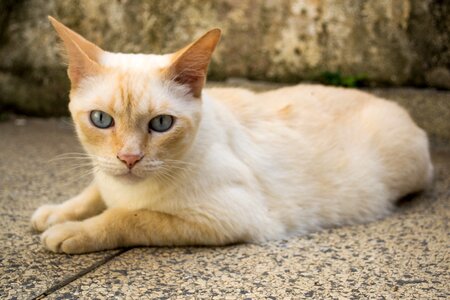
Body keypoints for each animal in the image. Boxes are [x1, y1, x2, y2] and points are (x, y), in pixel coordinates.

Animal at [30, 16, 432, 253]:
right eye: (101, 119)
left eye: (160, 124)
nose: (129, 158)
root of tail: (390, 102)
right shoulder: (105, 174)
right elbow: (94, 191)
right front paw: (57, 213)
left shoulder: (227, 216)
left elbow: (130, 217)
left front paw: (72, 231)